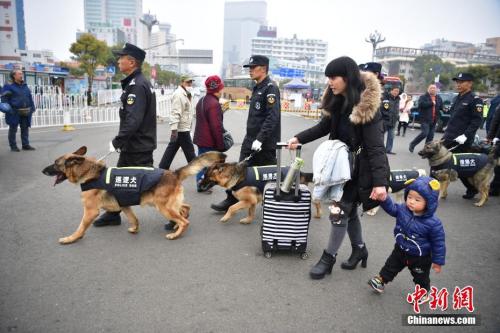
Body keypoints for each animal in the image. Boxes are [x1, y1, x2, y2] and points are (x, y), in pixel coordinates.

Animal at [42, 147, 226, 243]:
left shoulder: (90, 212)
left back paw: (175, 233)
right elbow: (134, 218)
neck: (89, 173)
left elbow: (80, 227)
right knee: (185, 208)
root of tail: (173, 173)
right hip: (168, 204)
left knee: (184, 220)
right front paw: (135, 229)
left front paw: (71, 238)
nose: (43, 170)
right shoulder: (125, 205)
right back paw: (175, 225)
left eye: (56, 164)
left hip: (162, 207)